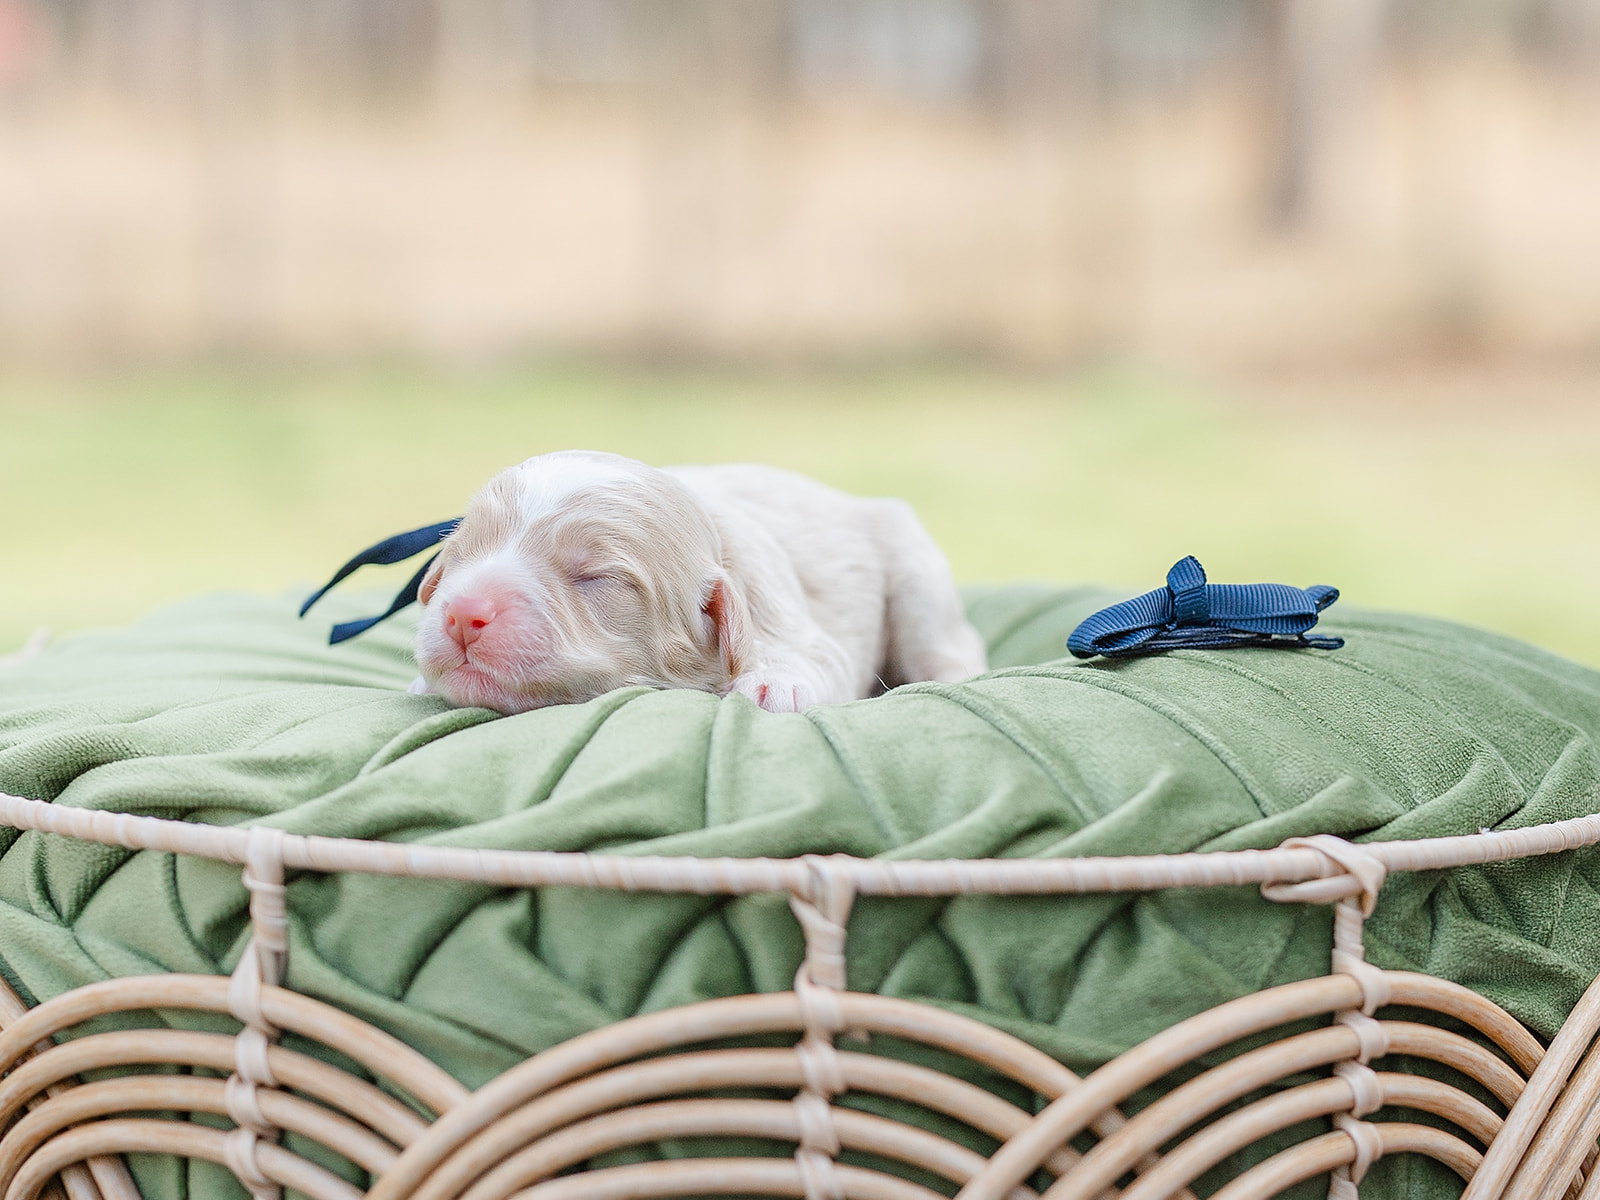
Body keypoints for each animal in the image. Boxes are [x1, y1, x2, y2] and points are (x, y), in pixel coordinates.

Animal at [409, 451, 988, 714]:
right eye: (459, 556)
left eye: (596, 577)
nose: (463, 613)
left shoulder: (783, 610)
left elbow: (814, 655)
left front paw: (774, 684)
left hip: (918, 576)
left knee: (952, 649)